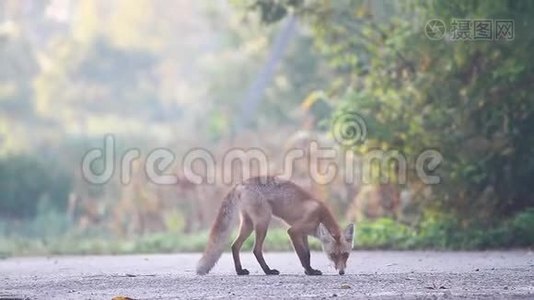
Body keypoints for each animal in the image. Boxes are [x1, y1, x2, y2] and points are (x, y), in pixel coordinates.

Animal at [197, 176, 356, 276]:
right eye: (333, 255)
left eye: (345, 255)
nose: (341, 272)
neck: (319, 215)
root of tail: (242, 183)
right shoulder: (294, 231)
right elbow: (303, 255)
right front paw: (310, 272)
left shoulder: (303, 234)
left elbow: (308, 254)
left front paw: (309, 270)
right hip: (263, 222)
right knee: (256, 250)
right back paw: (268, 271)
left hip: (248, 225)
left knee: (234, 246)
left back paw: (240, 271)